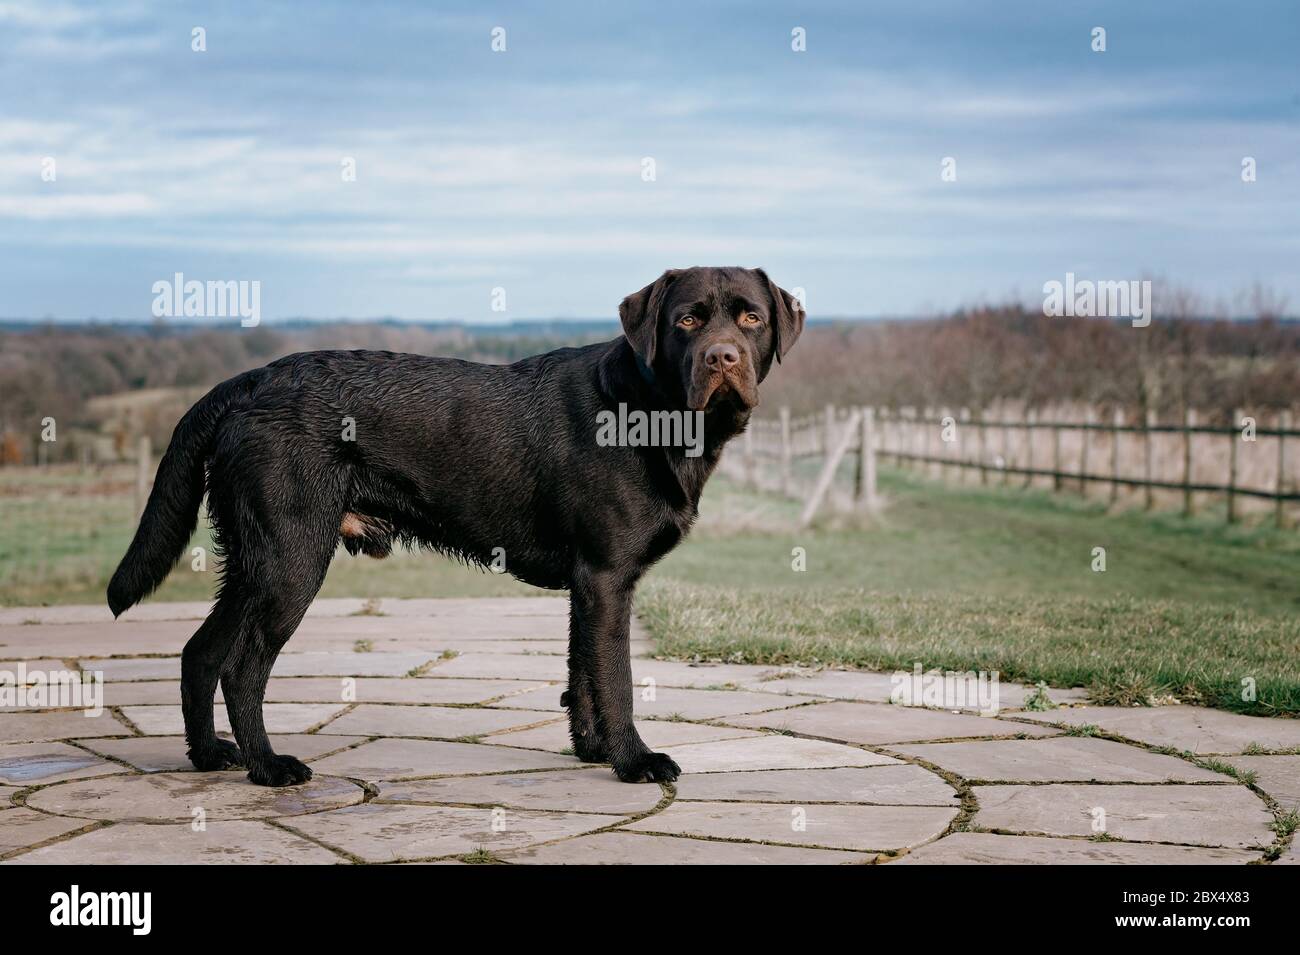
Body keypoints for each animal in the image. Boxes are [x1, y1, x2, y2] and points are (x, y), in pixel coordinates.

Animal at [109, 267, 800, 784]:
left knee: (199, 652)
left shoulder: (589, 584)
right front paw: (634, 762)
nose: (722, 358)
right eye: (687, 319)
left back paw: (208, 757)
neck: (646, 409)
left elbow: (582, 677)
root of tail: (249, 380)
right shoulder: (607, 578)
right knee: (241, 667)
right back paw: (268, 768)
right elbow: (617, 680)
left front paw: (592, 752)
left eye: (751, 319)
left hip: (252, 563)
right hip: (291, 560)